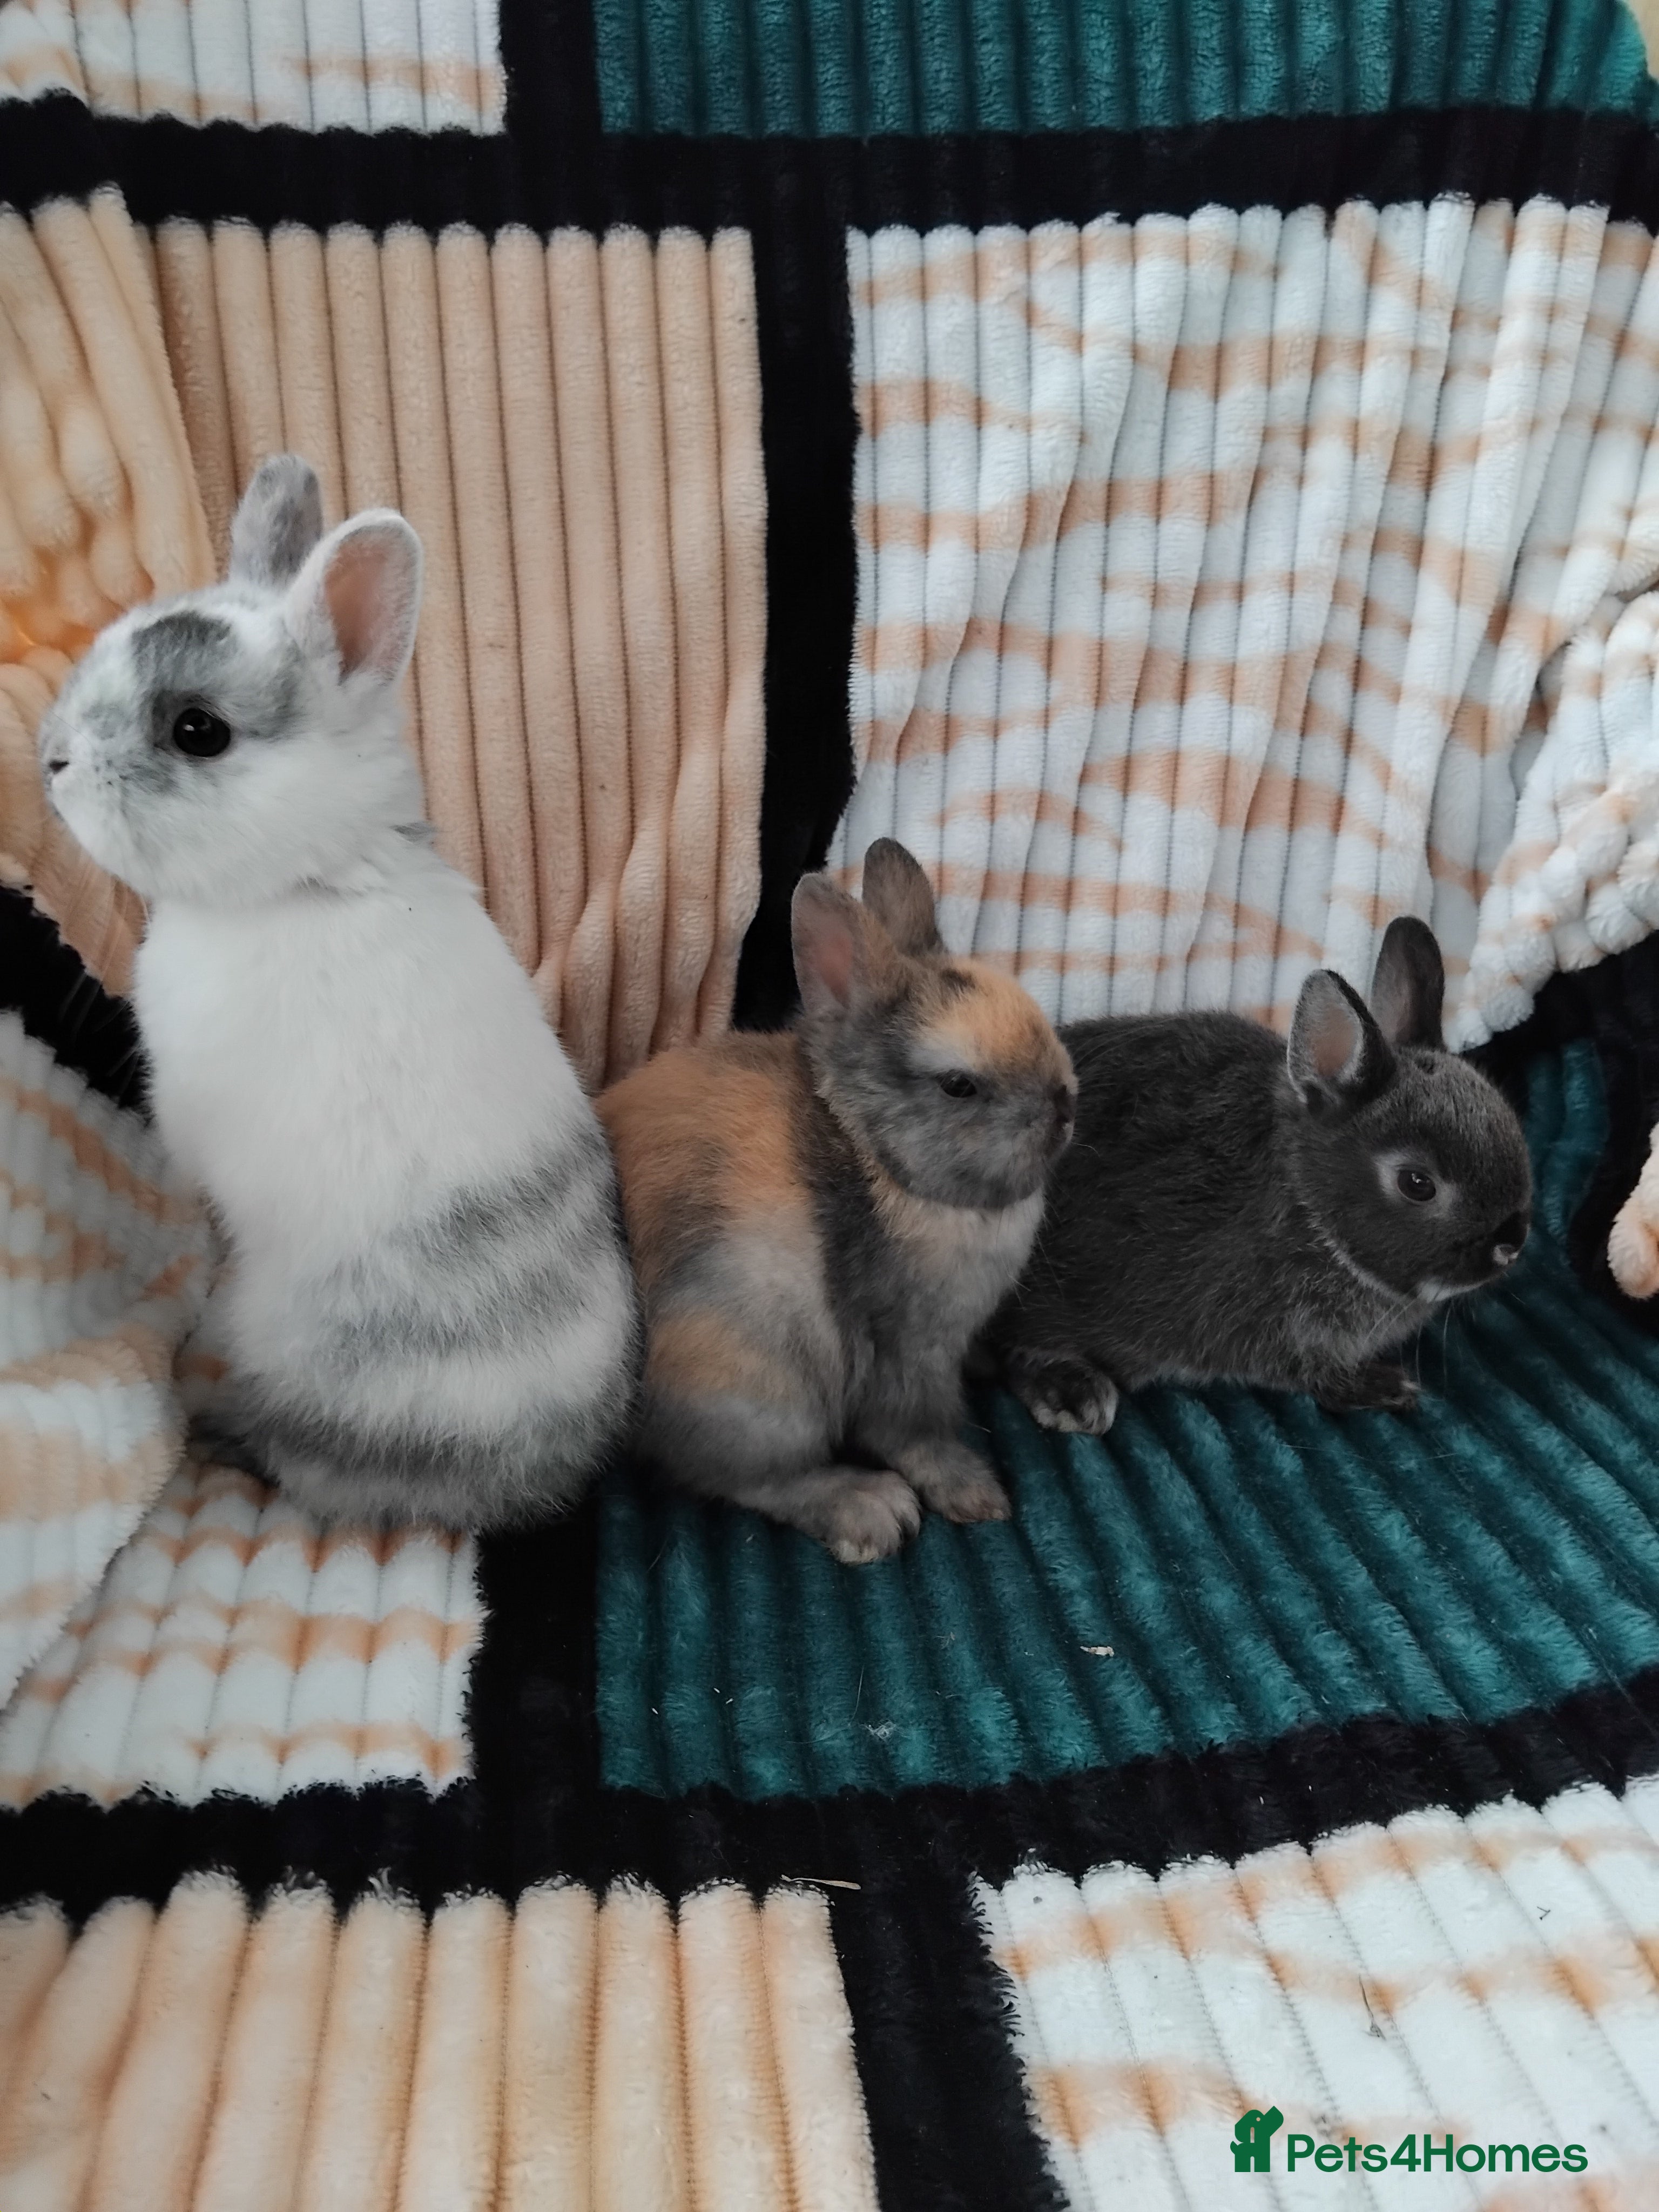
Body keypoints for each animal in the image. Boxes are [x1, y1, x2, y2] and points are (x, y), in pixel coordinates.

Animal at [597, 839, 1077, 1563]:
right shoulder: (909, 1352)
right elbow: (917, 1433)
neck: (884, 1160)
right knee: (743, 1477)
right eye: (959, 1086)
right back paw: (867, 1508)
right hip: (756, 1384)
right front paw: (977, 1495)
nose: (1065, 1106)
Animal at [984, 918, 1533, 1431]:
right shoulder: (1270, 1332)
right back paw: (1073, 1393)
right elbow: (1309, 1374)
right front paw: (1384, 1387)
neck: (1309, 1203)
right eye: (1418, 1184)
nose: (1510, 1246)